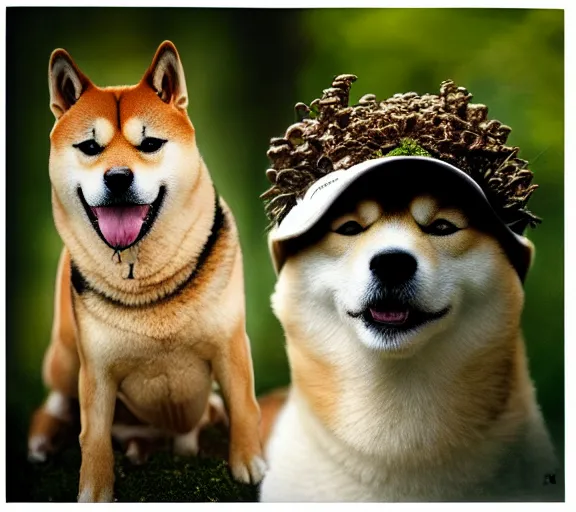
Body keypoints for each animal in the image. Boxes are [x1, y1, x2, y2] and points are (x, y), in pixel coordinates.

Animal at [28, 42, 266, 502]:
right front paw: (94, 491)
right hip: (64, 356)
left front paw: (250, 463)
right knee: (56, 402)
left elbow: (244, 404)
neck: (147, 281)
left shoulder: (230, 344)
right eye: (90, 147)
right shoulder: (96, 371)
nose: (119, 178)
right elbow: (93, 435)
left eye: (151, 143)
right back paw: (45, 439)